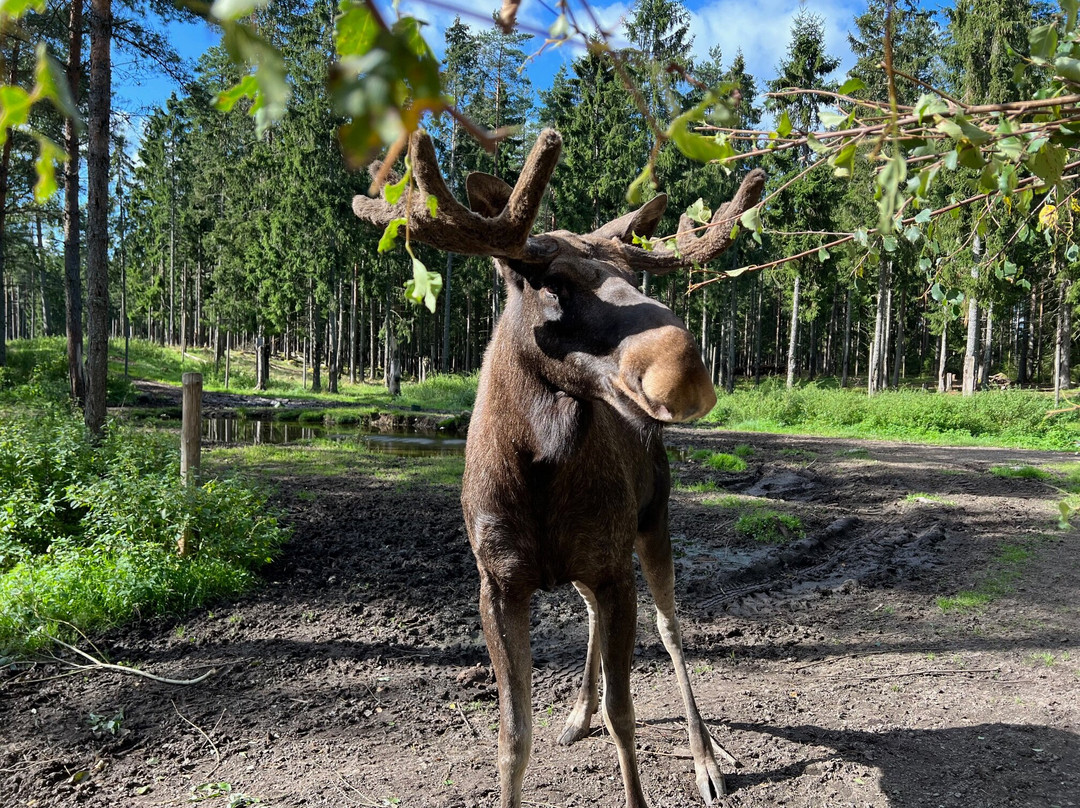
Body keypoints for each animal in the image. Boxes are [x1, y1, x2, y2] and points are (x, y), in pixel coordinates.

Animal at [349, 129, 764, 803]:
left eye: (634, 274)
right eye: (551, 282)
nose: (685, 371)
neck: (536, 472)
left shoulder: (614, 567)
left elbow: (626, 717)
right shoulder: (498, 583)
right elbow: (512, 736)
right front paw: (562, 721)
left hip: (652, 523)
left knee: (672, 628)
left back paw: (705, 756)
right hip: (590, 561)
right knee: (593, 614)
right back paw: (578, 711)